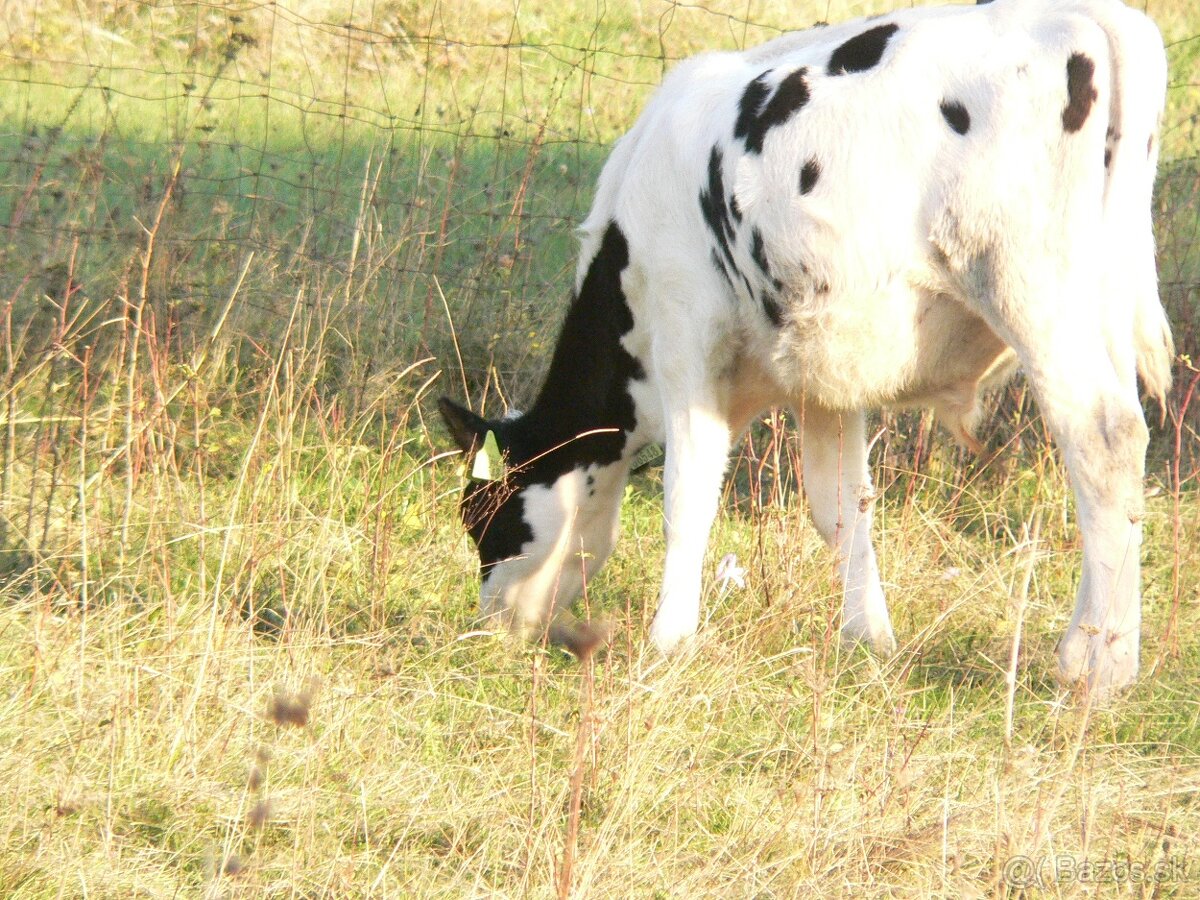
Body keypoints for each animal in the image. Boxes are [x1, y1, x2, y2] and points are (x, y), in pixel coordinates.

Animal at [441, 0, 1171, 696]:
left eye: (485, 519)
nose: (490, 624)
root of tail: (1085, 14)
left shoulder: (686, 333)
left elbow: (687, 493)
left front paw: (669, 640)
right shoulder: (826, 373)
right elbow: (840, 506)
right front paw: (868, 639)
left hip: (1033, 288)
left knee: (1104, 441)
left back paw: (1095, 663)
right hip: (1103, 300)